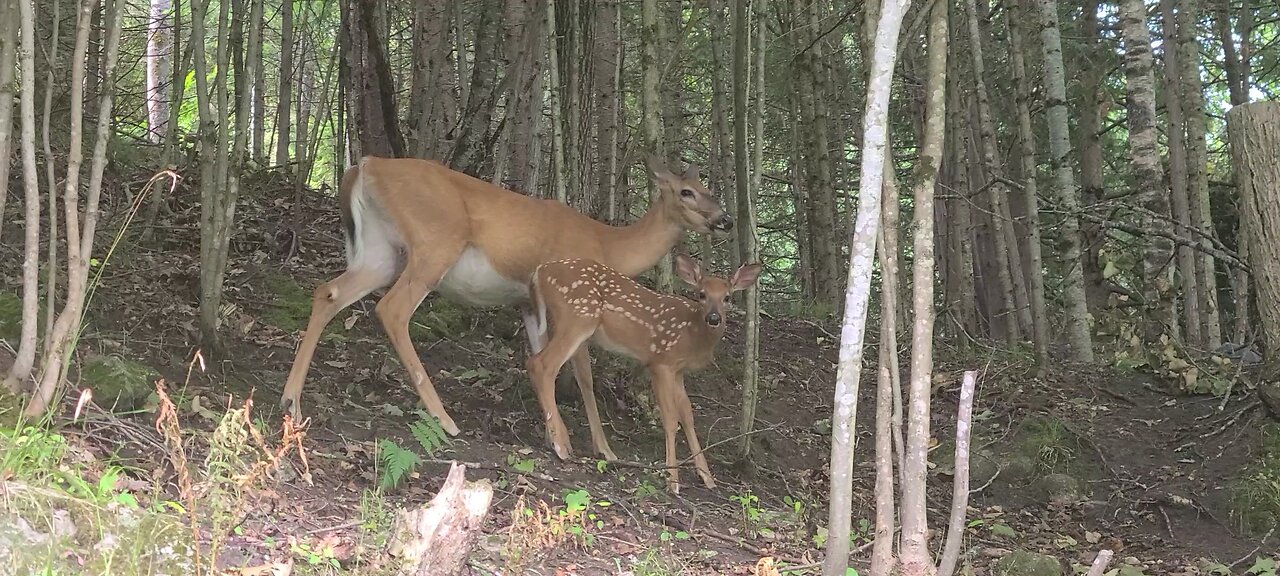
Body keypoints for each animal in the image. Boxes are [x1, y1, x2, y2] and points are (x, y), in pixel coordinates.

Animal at [279, 155, 733, 436]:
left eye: (708, 187)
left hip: (381, 251)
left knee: (328, 292)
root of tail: (366, 165)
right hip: (434, 242)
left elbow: (546, 360)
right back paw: (444, 418)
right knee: (392, 310)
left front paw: (557, 434)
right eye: (687, 192)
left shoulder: (529, 301)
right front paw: (591, 445)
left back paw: (291, 401)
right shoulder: (577, 296)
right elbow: (581, 372)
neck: (608, 244)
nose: (725, 219)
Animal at [525, 253, 762, 494]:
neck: (692, 335)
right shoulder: (661, 363)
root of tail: (540, 272)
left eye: (727, 297)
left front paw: (707, 477)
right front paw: (673, 480)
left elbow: (687, 416)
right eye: (701, 294)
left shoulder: (678, 371)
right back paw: (561, 446)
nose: (714, 318)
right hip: (578, 317)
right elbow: (670, 419)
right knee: (541, 364)